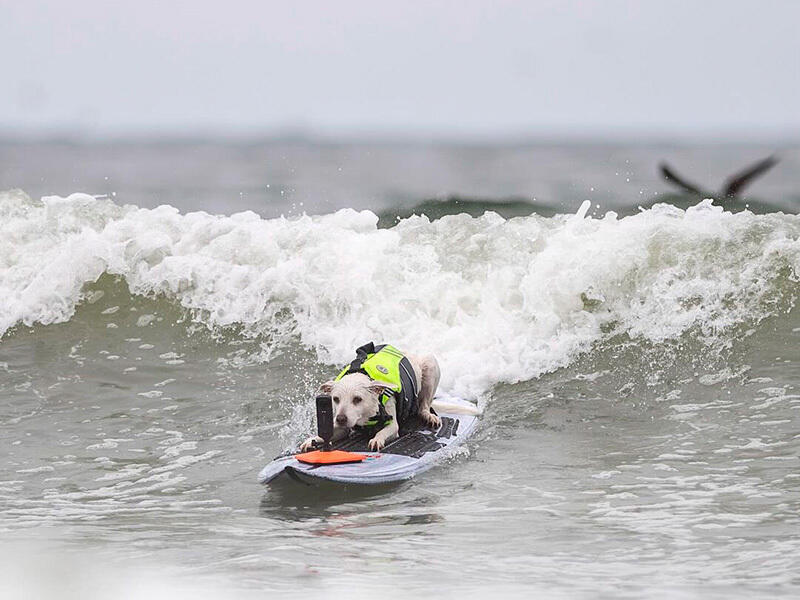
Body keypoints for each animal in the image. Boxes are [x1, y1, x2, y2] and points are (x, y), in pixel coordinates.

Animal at [298, 346, 440, 450]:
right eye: (336, 399)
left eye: (357, 399)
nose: (341, 419)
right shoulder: (342, 428)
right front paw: (312, 440)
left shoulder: (392, 424)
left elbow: (384, 431)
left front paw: (376, 440)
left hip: (430, 366)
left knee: (424, 405)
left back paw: (429, 416)